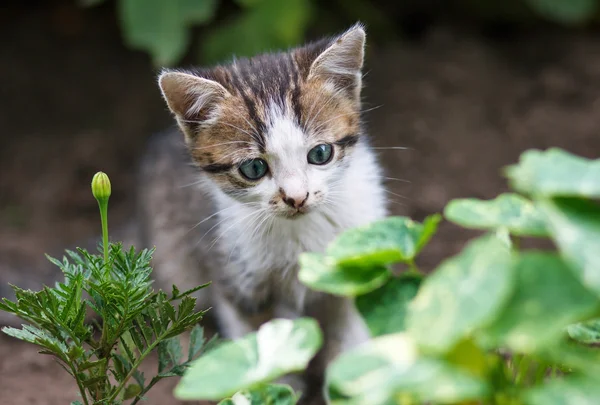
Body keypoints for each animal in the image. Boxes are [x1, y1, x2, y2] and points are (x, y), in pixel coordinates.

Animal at [140, 22, 386, 400]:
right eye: (254, 168)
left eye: (320, 154)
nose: (296, 197)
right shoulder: (234, 275)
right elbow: (256, 347)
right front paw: (273, 388)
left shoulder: (353, 263)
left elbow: (350, 334)